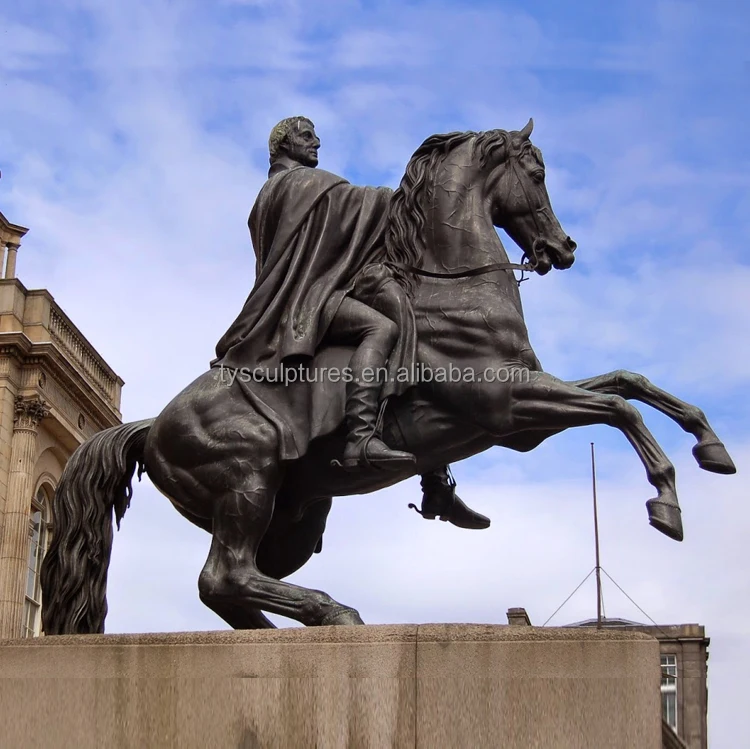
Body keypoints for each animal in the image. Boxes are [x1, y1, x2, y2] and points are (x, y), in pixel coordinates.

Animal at [38, 120, 736, 636]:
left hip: (290, 517)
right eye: (536, 174)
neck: (451, 288)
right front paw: (666, 500)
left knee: (231, 587)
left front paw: (711, 445)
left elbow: (629, 381)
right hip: (247, 483)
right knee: (224, 575)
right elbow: (621, 409)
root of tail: (152, 425)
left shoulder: (522, 412)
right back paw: (334, 611)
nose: (562, 250)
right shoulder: (510, 406)